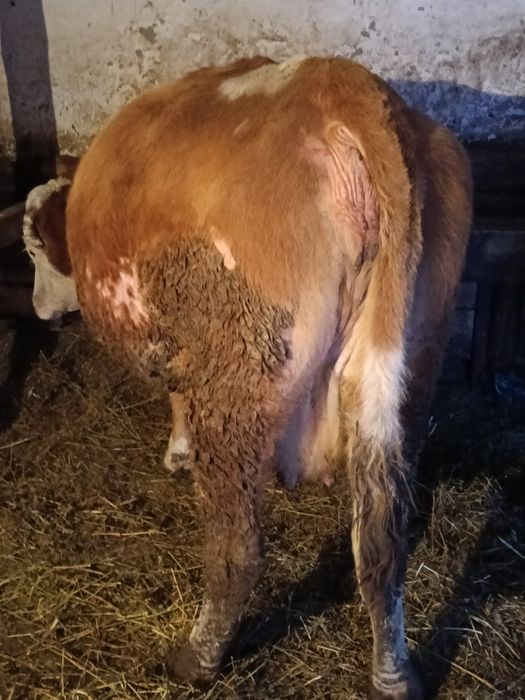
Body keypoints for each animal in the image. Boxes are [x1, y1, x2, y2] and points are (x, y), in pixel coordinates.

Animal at [23, 56, 472, 698]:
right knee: (383, 544)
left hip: (240, 371)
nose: (38, 311)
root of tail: (345, 87)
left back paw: (197, 658)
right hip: (406, 365)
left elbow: (177, 396)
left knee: (238, 549)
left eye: (34, 248)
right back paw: (392, 674)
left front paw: (178, 451)